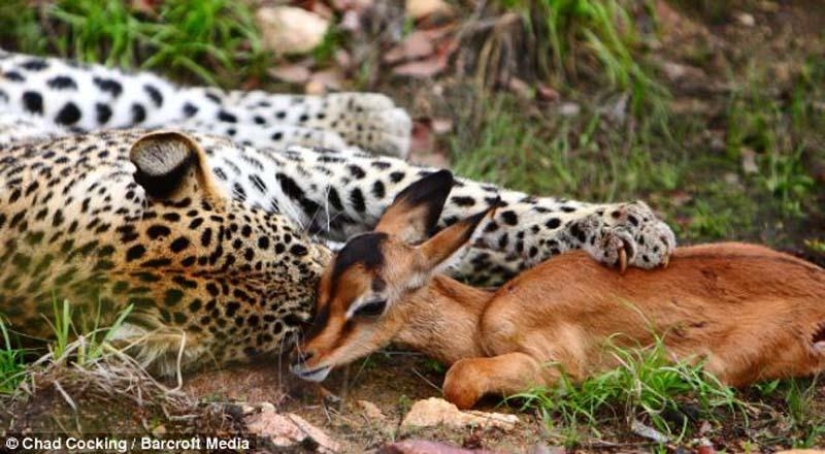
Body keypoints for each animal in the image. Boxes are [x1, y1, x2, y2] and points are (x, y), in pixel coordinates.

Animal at [0, 51, 676, 375]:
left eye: (294, 242)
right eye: (297, 325)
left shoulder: (301, 177)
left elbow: (481, 200)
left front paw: (617, 224)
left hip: (66, 89)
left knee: (187, 99)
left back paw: (361, 115)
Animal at [290, 170, 825, 409]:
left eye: (372, 303)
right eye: (323, 282)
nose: (304, 356)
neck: (487, 313)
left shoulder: (552, 368)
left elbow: (459, 379)